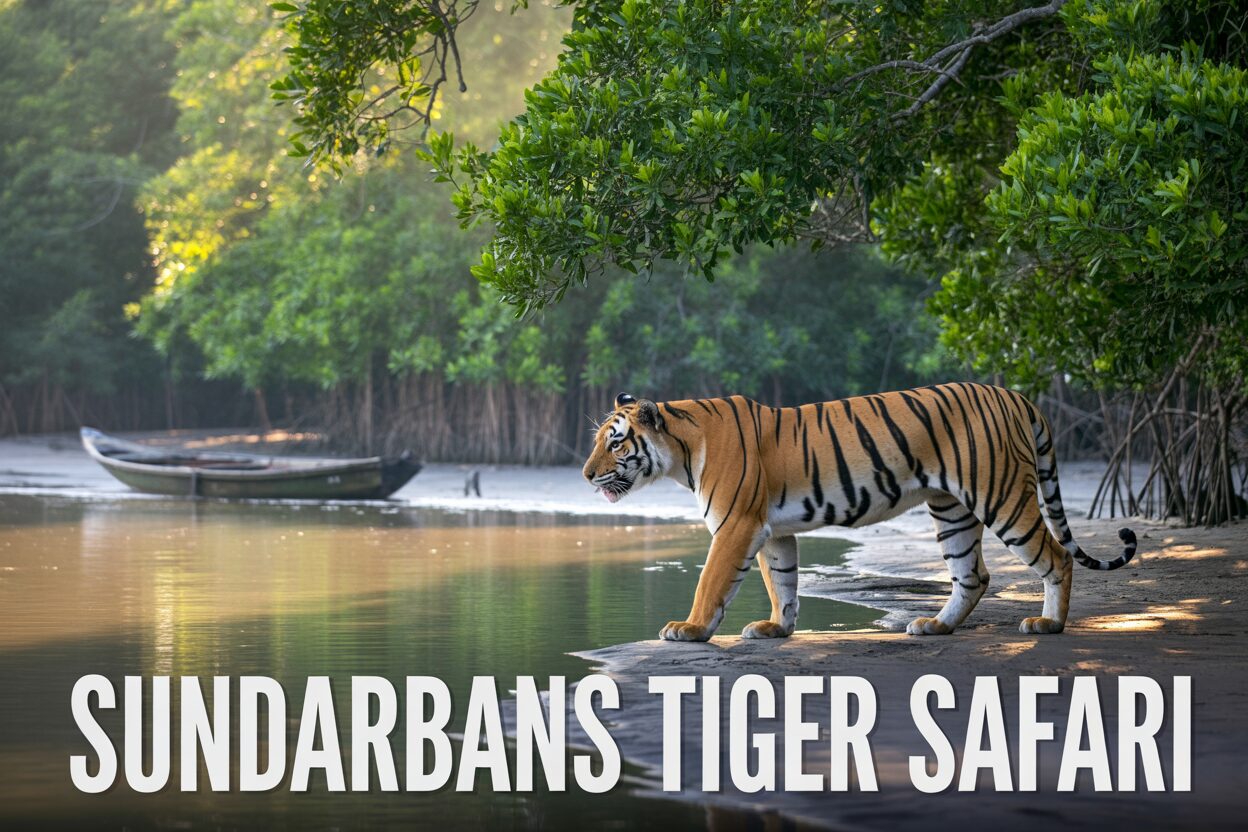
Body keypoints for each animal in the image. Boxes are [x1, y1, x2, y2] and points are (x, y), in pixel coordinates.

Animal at [582, 383, 1136, 642]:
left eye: (615, 443)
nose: (586, 476)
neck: (680, 450)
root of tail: (1017, 396)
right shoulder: (773, 531)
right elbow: (782, 583)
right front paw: (777, 629)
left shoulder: (735, 525)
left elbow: (711, 583)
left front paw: (690, 629)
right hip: (952, 509)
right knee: (972, 574)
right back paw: (935, 626)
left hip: (1002, 497)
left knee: (1055, 557)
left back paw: (1047, 624)